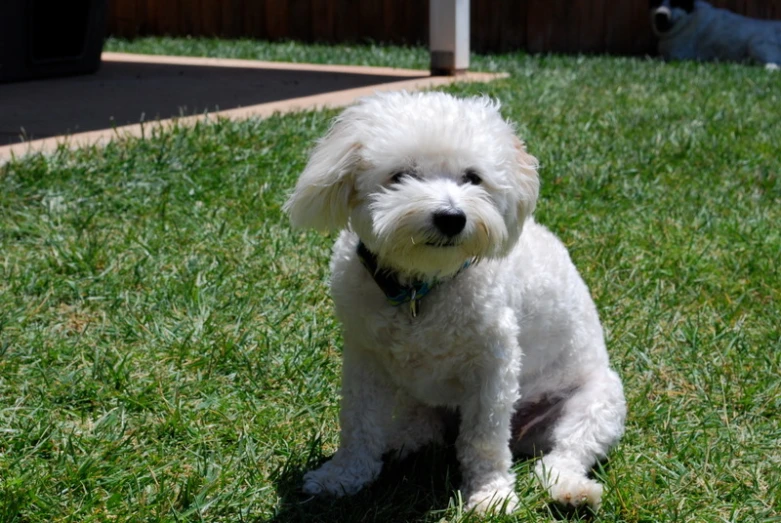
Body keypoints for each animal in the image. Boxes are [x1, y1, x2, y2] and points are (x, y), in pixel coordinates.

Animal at [284, 91, 624, 516]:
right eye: (401, 175)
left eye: (473, 178)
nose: (451, 218)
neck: (420, 287)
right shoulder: (365, 358)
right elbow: (358, 422)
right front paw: (343, 476)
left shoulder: (493, 367)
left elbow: (484, 439)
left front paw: (490, 495)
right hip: (414, 402)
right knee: (417, 432)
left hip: (598, 404)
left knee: (564, 455)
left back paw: (572, 491)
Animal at [648, 0, 780, 68]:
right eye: (656, 0)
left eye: (676, 2)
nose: (660, 16)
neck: (687, 19)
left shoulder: (677, 56)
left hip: (755, 44)